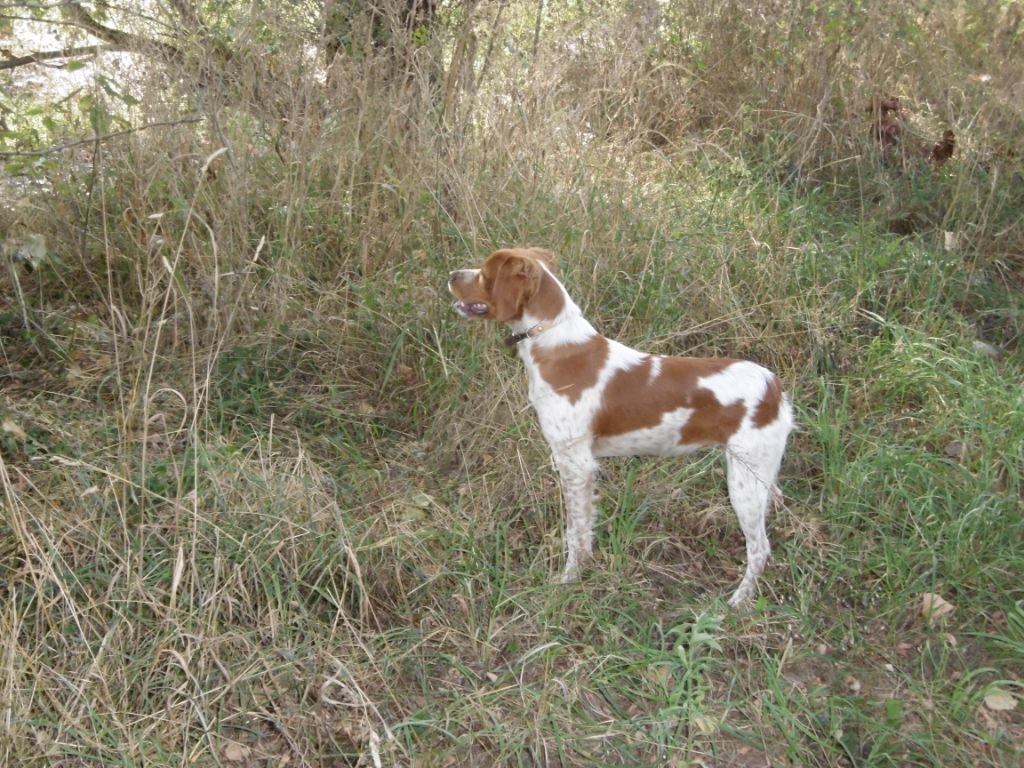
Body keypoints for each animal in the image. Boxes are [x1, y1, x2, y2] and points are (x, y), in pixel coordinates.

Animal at [448, 249, 790, 606]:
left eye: (485, 274)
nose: (451, 275)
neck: (552, 342)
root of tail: (773, 386)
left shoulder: (575, 462)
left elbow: (576, 531)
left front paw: (568, 580)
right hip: (761, 476)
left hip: (744, 482)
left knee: (760, 549)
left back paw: (738, 603)